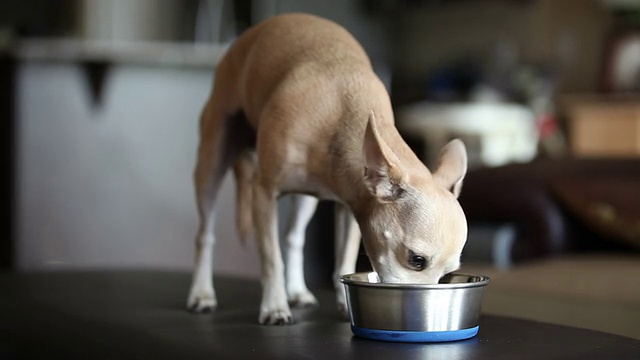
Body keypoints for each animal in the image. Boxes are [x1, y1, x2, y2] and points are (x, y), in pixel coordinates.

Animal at [188, 12, 468, 324]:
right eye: (416, 260)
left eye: (447, 274)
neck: (342, 114)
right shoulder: (264, 192)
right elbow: (272, 259)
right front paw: (274, 306)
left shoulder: (351, 209)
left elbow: (342, 261)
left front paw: (346, 304)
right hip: (212, 163)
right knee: (205, 235)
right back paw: (202, 294)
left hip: (306, 198)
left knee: (294, 237)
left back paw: (297, 290)